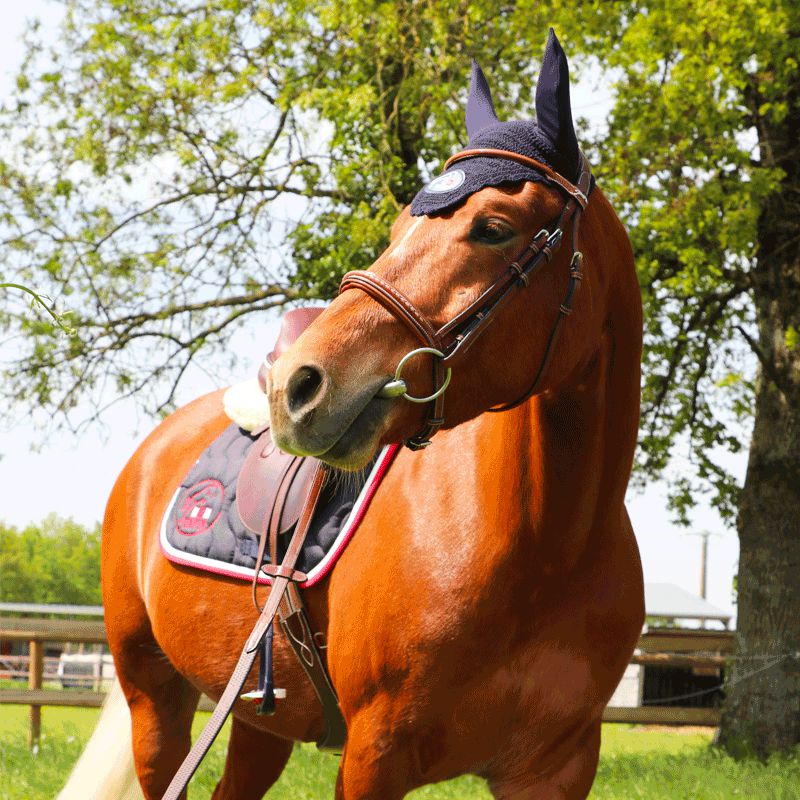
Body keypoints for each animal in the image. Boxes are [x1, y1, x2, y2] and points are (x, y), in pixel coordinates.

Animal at [59, 29, 644, 800]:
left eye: (493, 227)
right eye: (399, 226)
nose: (301, 386)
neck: (544, 554)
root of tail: (154, 448)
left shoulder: (557, 770)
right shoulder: (373, 757)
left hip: (256, 715)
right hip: (154, 699)